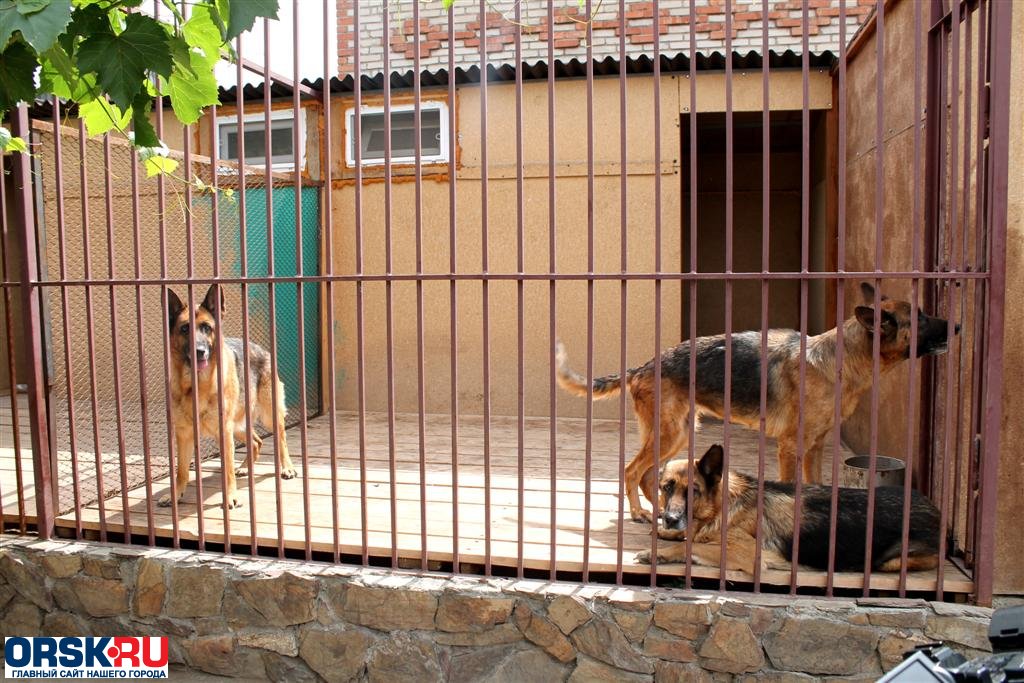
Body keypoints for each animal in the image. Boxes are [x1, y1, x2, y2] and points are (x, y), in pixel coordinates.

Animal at [160, 280, 296, 509]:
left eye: (207, 328)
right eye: (184, 328)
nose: (199, 351)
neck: (197, 385)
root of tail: (259, 347)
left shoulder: (224, 431)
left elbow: (228, 470)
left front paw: (230, 496)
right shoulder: (185, 434)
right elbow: (181, 471)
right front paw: (175, 494)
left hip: (268, 416)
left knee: (282, 439)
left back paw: (287, 467)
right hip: (237, 425)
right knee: (256, 441)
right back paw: (245, 467)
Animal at [557, 282, 954, 524]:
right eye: (919, 318)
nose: (959, 326)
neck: (837, 360)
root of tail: (644, 365)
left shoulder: (815, 449)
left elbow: (817, 486)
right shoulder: (790, 448)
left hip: (680, 434)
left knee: (647, 475)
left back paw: (664, 513)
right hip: (670, 435)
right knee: (631, 471)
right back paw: (644, 514)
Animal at [634, 444, 937, 577]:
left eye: (693, 491)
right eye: (666, 488)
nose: (671, 519)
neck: (724, 505)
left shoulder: (747, 554)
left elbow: (692, 545)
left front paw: (657, 552)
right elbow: (690, 537)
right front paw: (664, 532)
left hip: (891, 561)